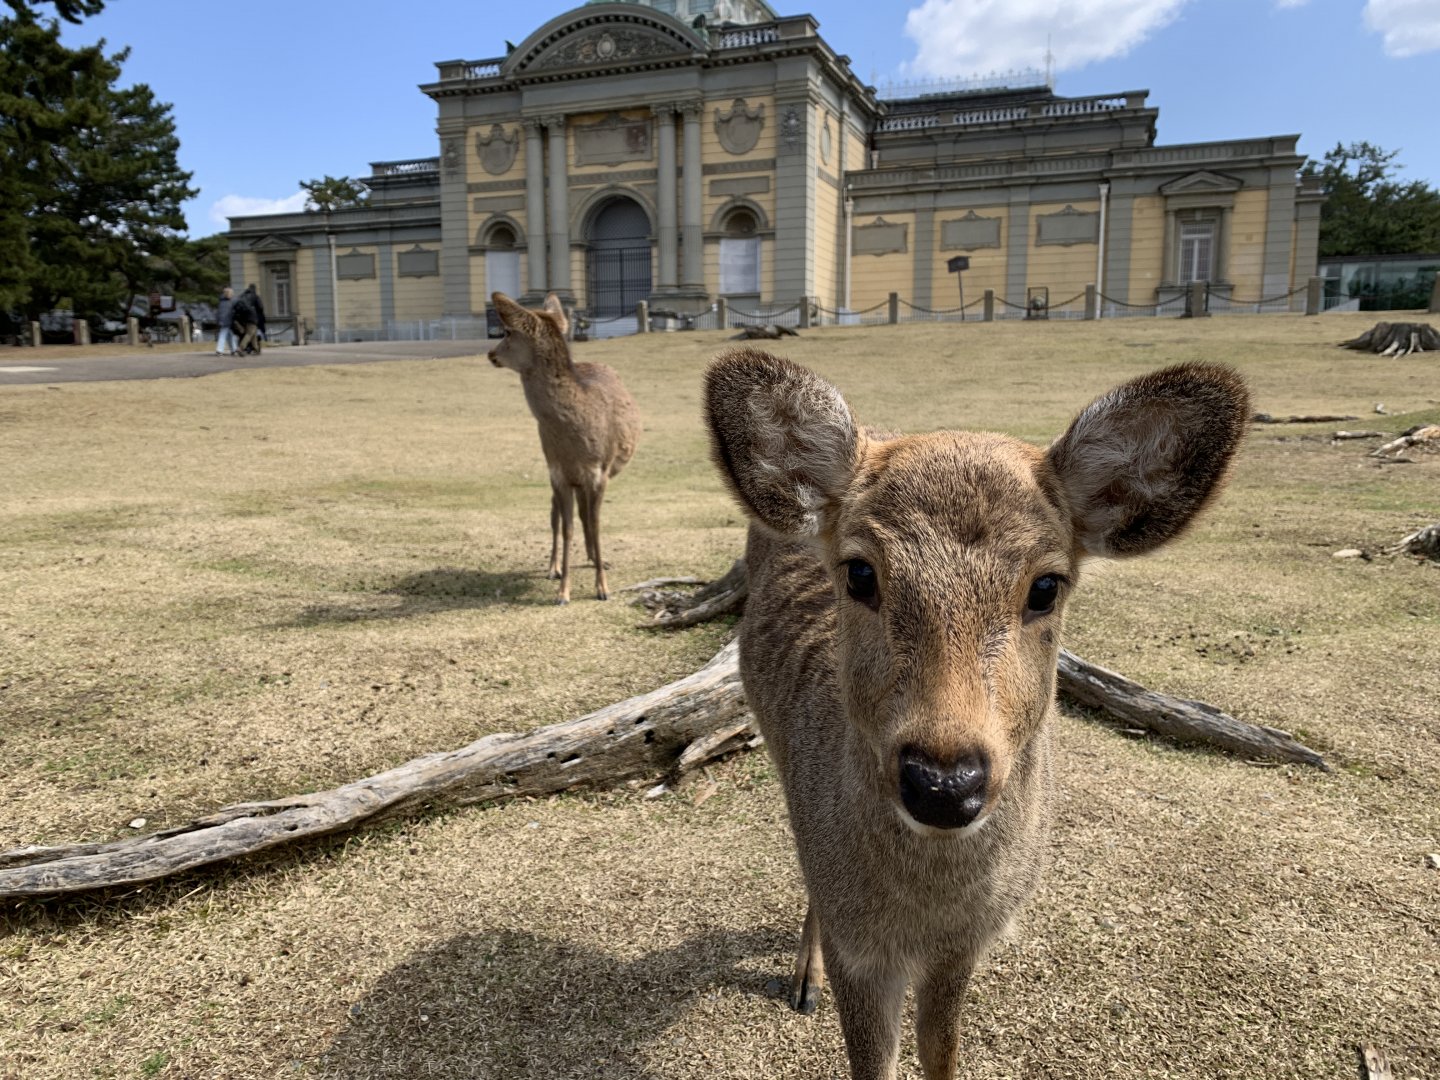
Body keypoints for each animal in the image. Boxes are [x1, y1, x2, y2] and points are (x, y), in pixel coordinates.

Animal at [488, 292, 641, 603]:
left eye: (507, 332)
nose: (491, 354)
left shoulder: (599, 471)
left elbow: (595, 523)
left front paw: (603, 587)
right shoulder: (558, 472)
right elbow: (566, 526)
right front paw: (563, 592)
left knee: (584, 515)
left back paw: (595, 559)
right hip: (553, 470)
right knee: (555, 515)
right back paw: (554, 567)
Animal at [704, 349, 1249, 1079]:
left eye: (1047, 585)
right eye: (859, 572)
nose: (943, 783)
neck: (928, 914)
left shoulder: (970, 942)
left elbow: (942, 1050)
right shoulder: (863, 950)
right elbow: (872, 1061)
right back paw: (802, 981)